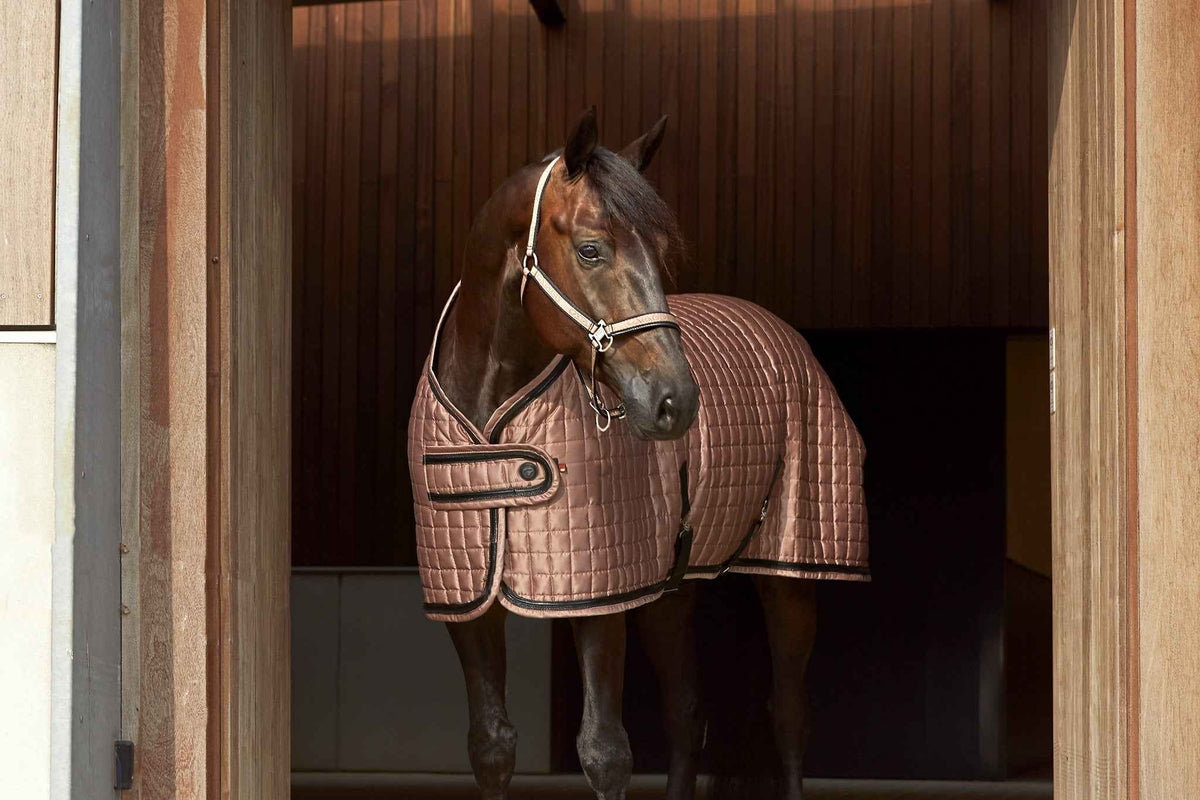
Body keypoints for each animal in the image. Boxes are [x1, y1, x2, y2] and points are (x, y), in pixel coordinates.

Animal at [407, 108, 868, 800]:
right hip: (670, 591)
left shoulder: (601, 596)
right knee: (686, 711)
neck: (494, 416)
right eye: (590, 249)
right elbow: (490, 746)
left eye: (662, 254)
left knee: (789, 714)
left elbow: (605, 751)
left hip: (793, 572)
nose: (675, 400)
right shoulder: (468, 598)